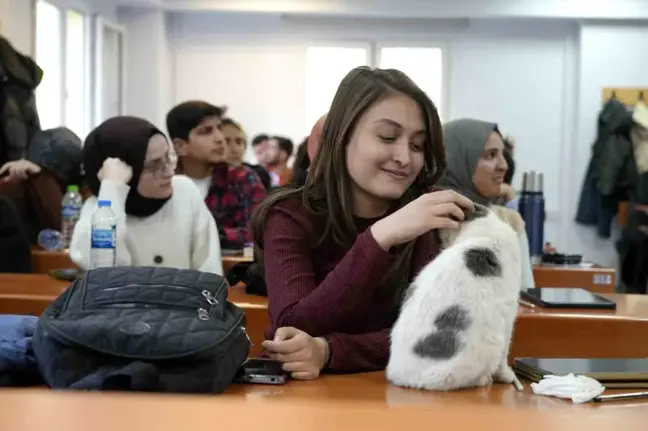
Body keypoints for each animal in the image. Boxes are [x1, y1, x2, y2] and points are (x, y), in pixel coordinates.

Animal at [388, 205, 524, 392]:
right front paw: (506, 376)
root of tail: (403, 378)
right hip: (489, 343)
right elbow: (505, 356)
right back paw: (484, 379)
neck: (483, 231)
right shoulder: (509, 315)